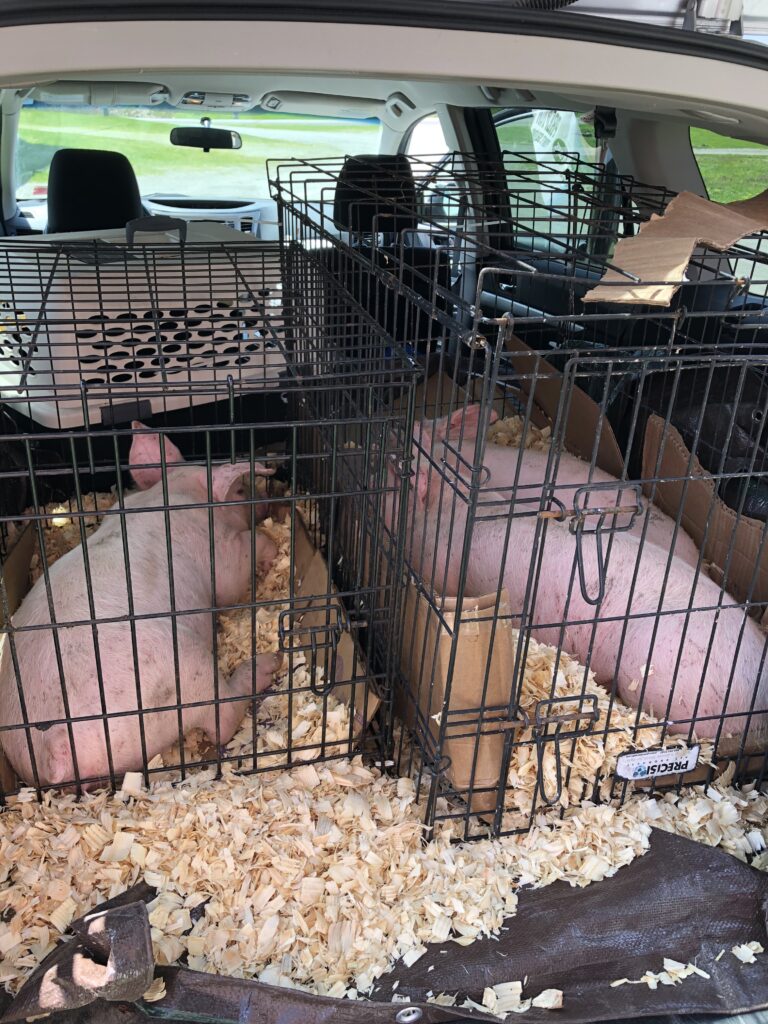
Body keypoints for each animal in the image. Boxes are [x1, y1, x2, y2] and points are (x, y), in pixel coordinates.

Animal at [0, 425, 280, 788]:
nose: (268, 504)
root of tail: (53, 750)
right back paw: (267, 664)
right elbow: (245, 558)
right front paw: (270, 551)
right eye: (241, 490)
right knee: (222, 718)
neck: (171, 494)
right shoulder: (221, 556)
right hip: (183, 671)